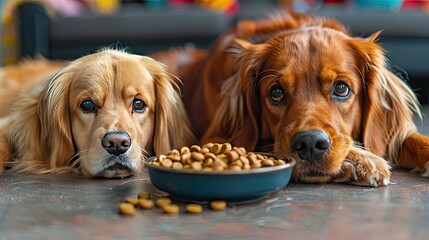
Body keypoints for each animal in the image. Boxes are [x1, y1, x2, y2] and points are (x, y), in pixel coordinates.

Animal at [153, 12, 428, 187]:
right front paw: (362, 160)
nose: (309, 144)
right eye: (276, 92)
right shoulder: (216, 137)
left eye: (341, 88)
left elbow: (413, 139)